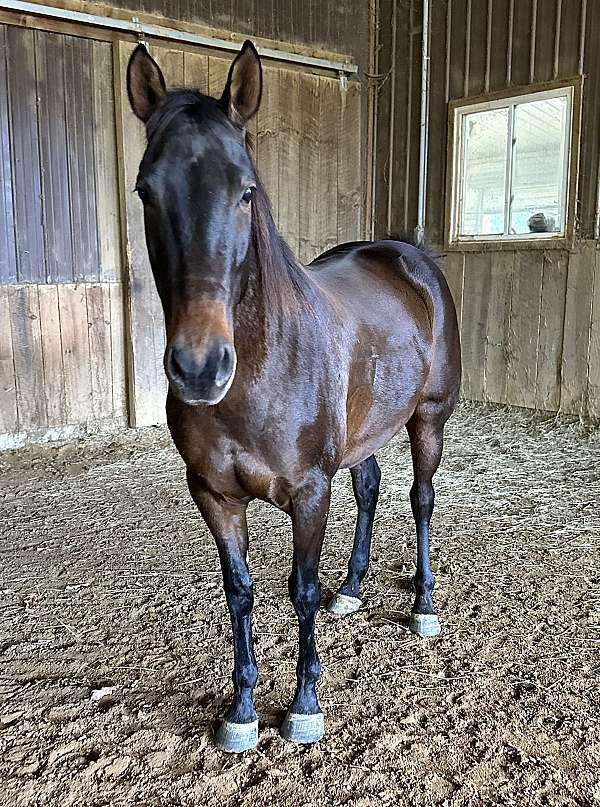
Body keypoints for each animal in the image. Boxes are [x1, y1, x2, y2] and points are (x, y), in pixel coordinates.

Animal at [126, 41, 462, 756]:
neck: (259, 371)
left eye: (246, 189)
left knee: (420, 499)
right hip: (365, 431)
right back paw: (354, 589)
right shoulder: (214, 495)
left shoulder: (309, 492)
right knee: (369, 486)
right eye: (146, 190)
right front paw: (242, 710)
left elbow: (300, 591)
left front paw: (304, 705)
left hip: (428, 418)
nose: (199, 368)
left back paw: (422, 605)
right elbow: (241, 593)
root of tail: (408, 255)